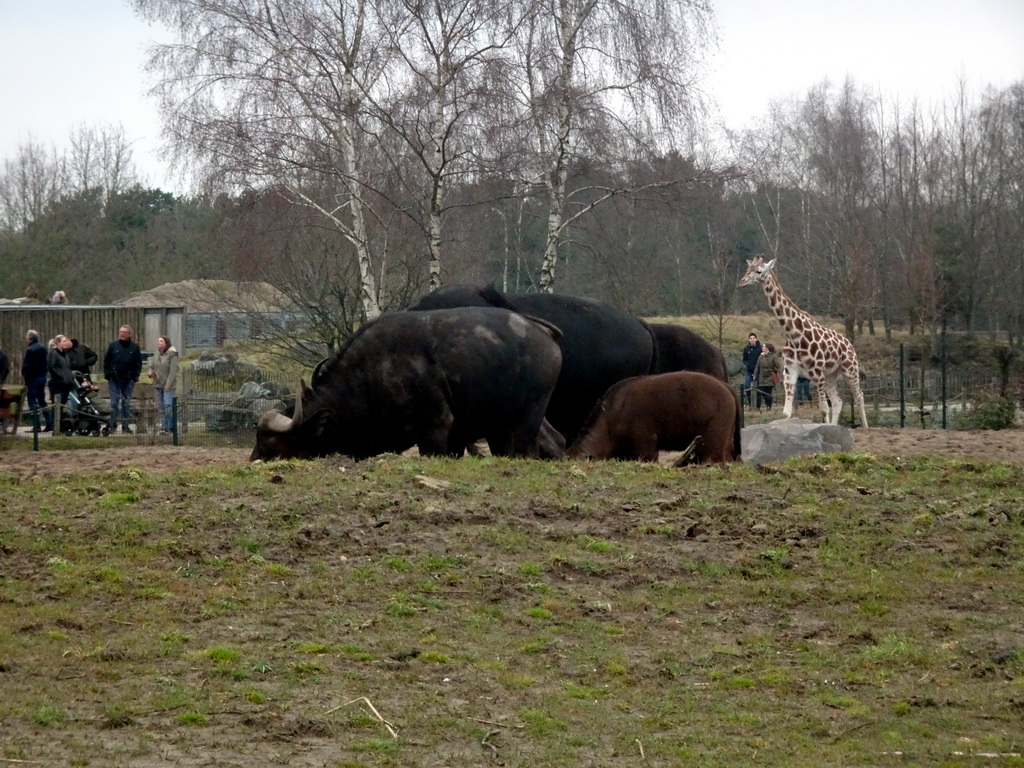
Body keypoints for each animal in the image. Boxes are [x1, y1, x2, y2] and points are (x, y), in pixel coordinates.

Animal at [252, 309, 565, 462]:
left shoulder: (435, 430)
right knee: (554, 440)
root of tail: (540, 330)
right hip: (505, 423)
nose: (254, 459)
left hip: (528, 418)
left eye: (270, 443)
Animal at [741, 257, 868, 428]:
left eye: (759, 271)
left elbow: (823, 409)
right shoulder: (789, 372)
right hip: (831, 375)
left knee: (859, 395)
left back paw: (866, 427)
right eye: (747, 269)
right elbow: (786, 412)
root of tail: (849, 344)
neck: (794, 335)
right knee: (838, 401)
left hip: (849, 369)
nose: (742, 282)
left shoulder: (817, 373)